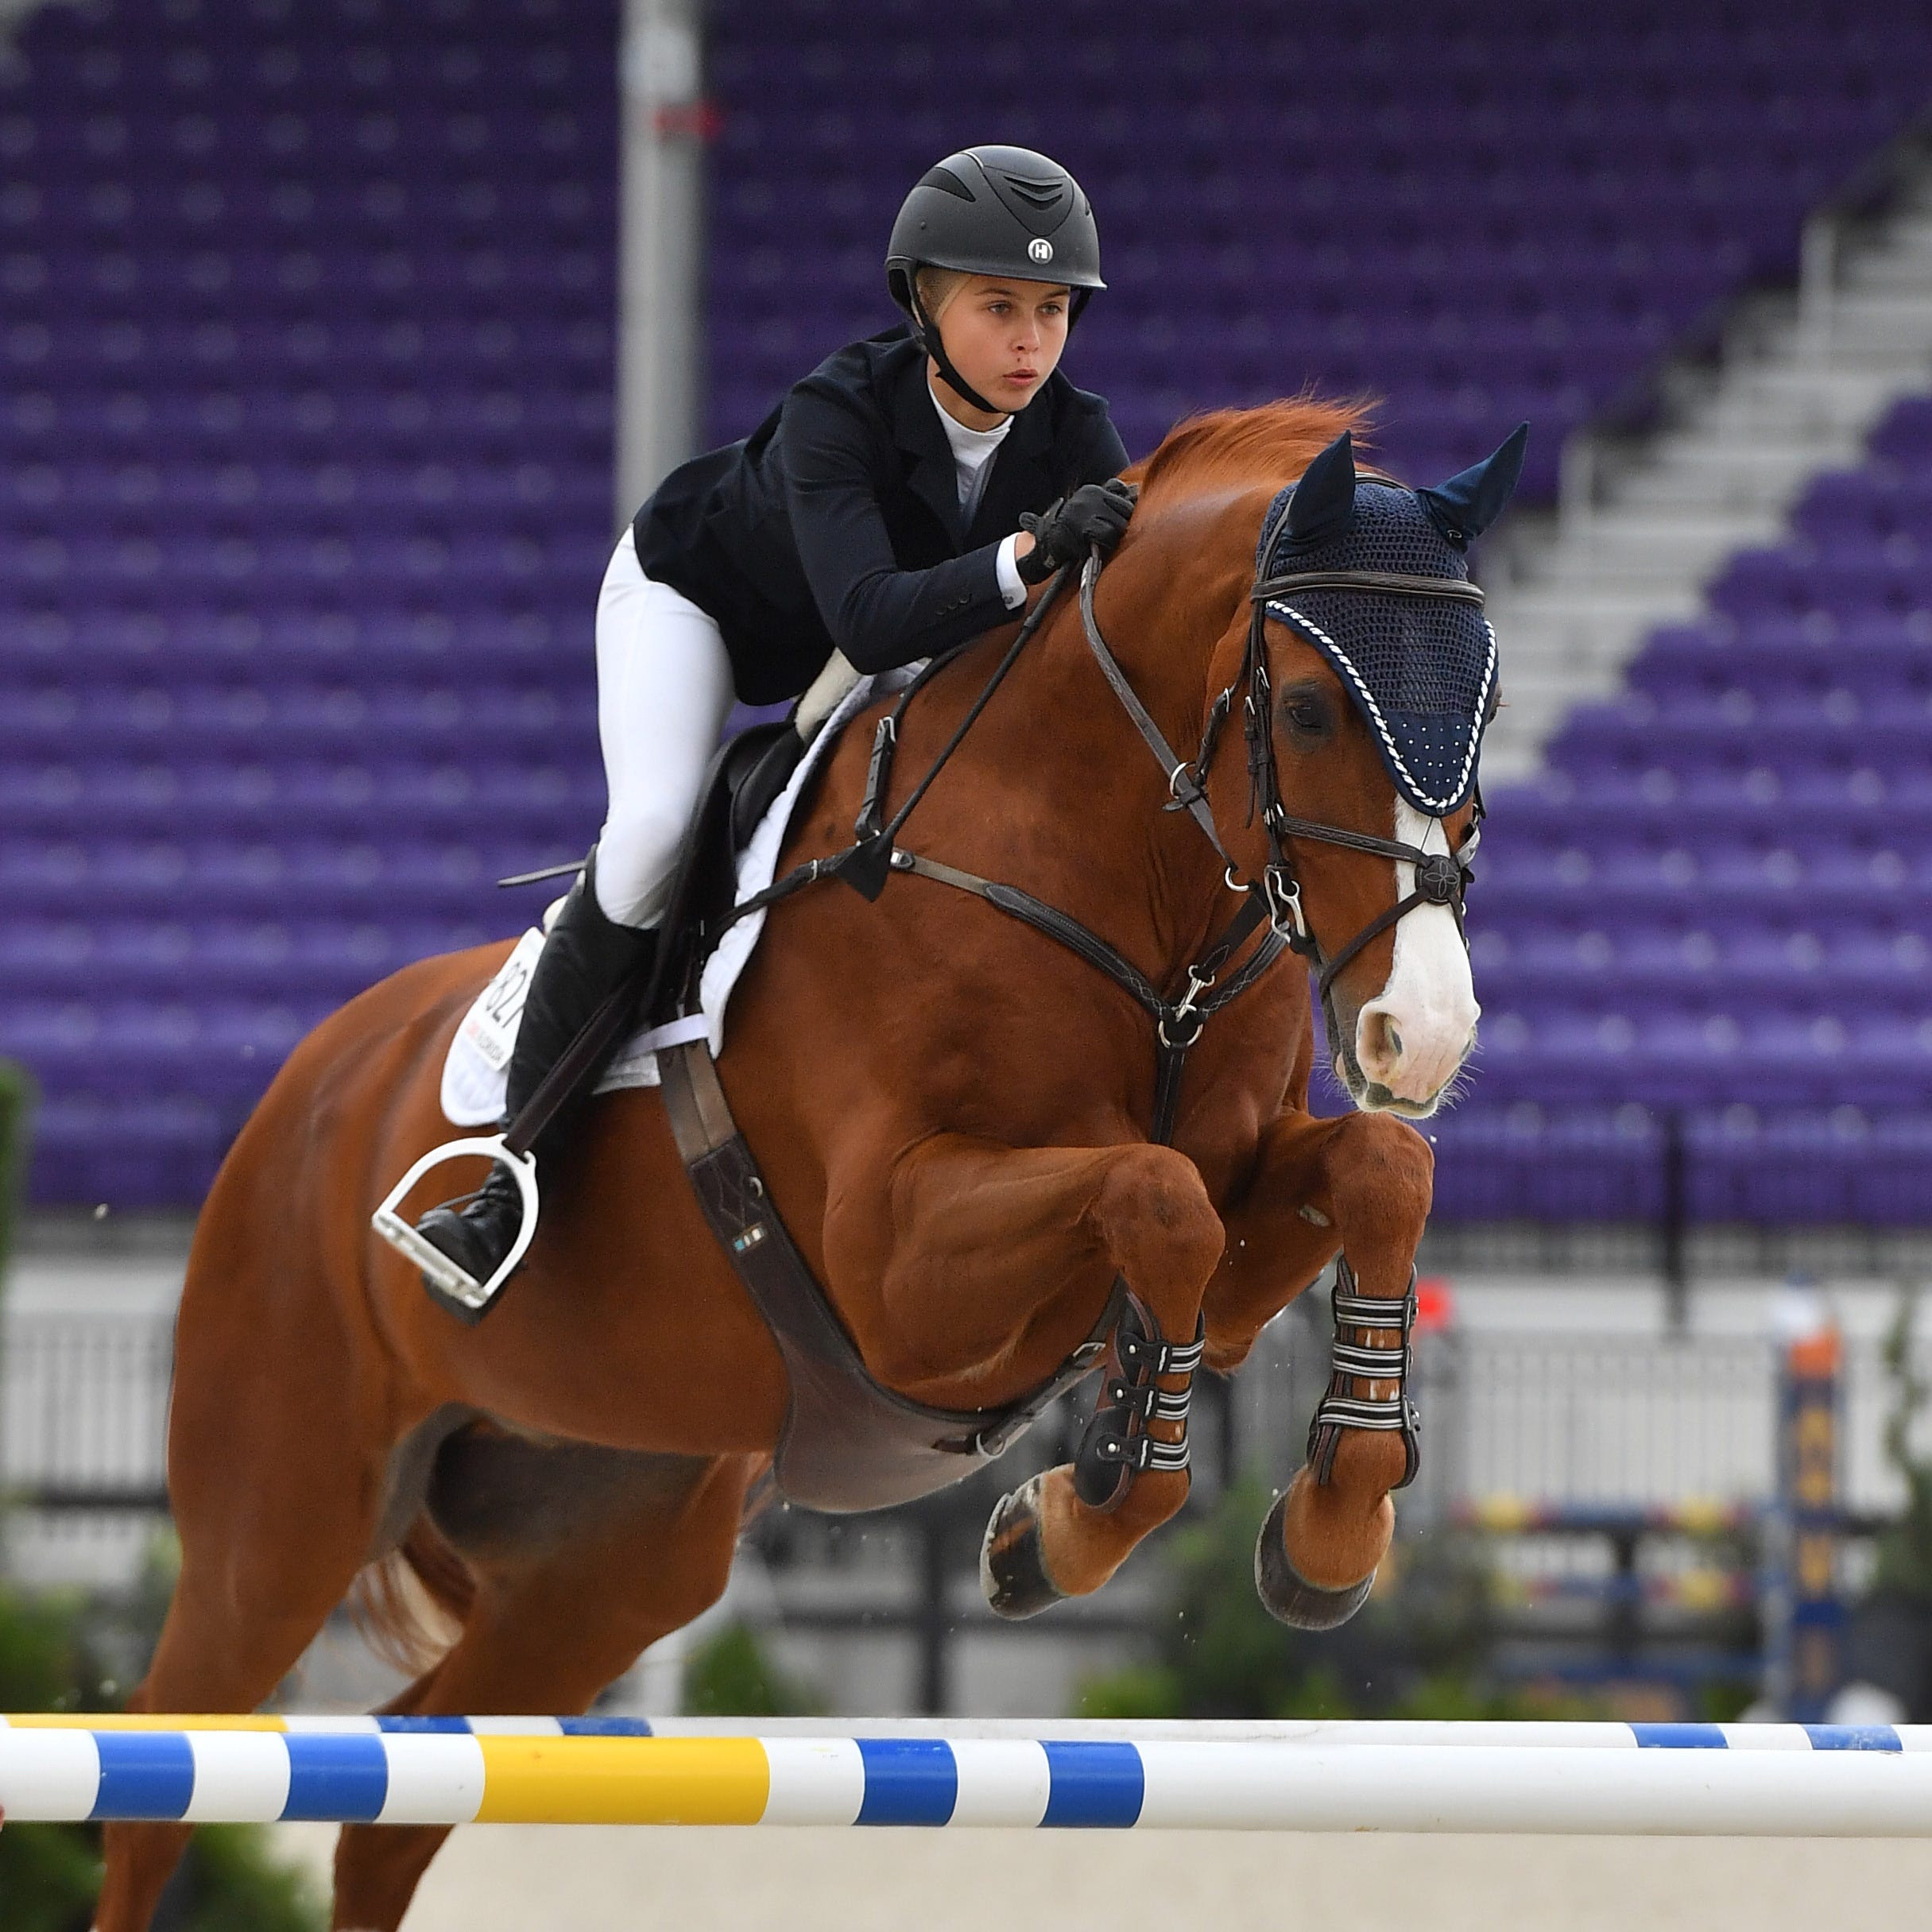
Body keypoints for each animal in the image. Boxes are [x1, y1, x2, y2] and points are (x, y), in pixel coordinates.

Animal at [94, 396, 1507, 1932]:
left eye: (1486, 707)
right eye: (1306, 707)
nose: (1423, 1029)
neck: (1122, 889)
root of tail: (309, 1086)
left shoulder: (1228, 1195)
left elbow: (1368, 1174)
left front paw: (1322, 1534)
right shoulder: (901, 1273)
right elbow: (1157, 1199)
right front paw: (1069, 1523)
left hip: (613, 1554)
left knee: (398, 1791)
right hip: (279, 1517)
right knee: (164, 1777)